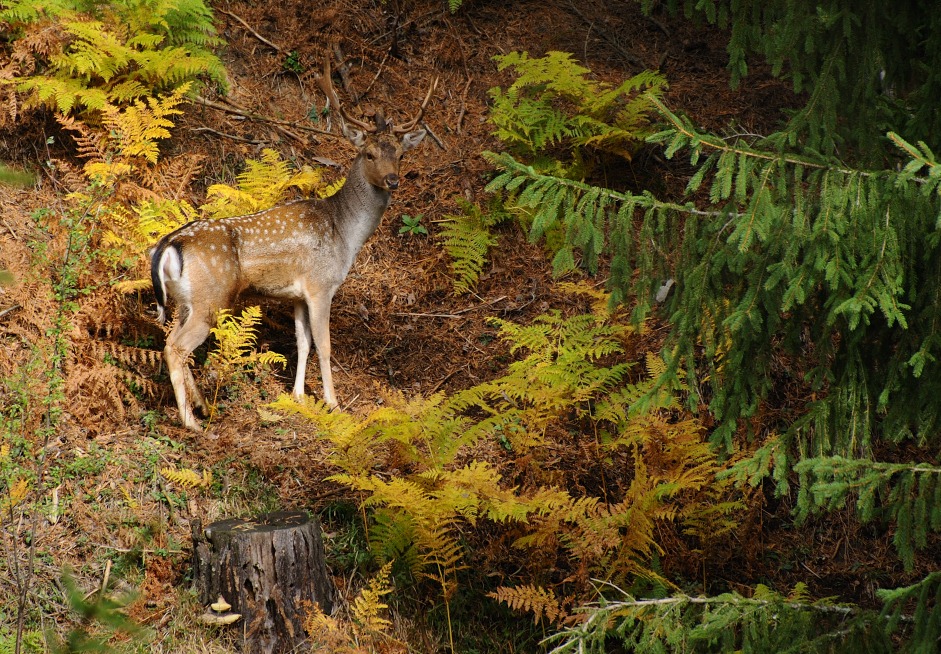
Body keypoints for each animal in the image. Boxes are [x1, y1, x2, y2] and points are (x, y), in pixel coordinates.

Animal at [150, 59, 433, 430]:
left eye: (400, 154)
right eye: (369, 154)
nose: (393, 179)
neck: (345, 231)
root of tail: (169, 244)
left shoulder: (297, 295)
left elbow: (302, 342)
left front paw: (298, 396)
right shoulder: (321, 284)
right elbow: (325, 345)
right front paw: (332, 403)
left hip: (186, 300)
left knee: (171, 340)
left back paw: (200, 406)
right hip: (211, 297)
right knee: (176, 348)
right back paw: (191, 422)